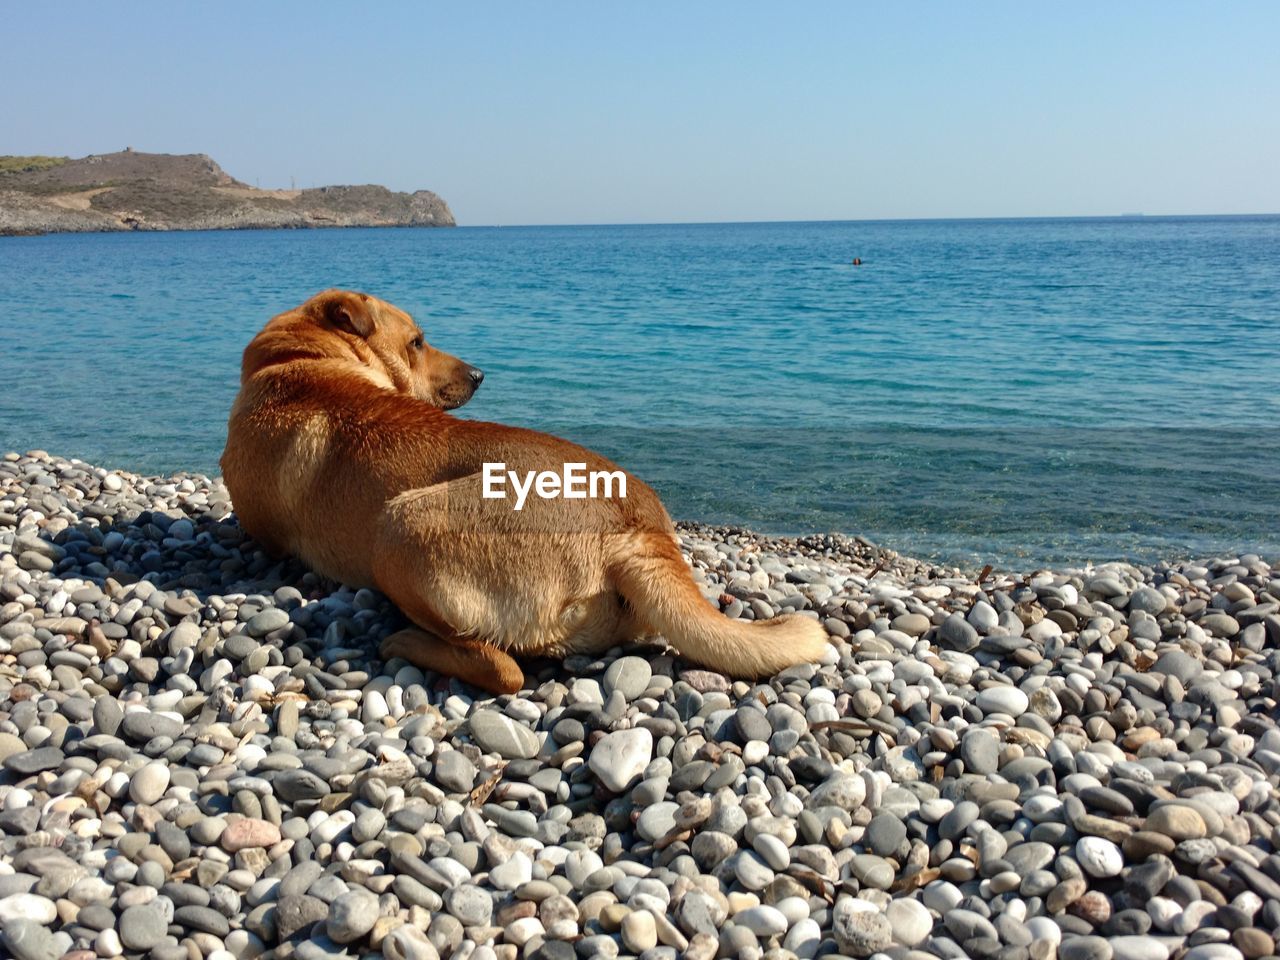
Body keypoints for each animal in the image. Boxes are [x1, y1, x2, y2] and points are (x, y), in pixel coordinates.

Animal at [222, 289, 829, 696]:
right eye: (417, 341)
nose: (480, 373)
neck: (302, 359)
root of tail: (635, 528)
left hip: (400, 527)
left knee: (502, 667)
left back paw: (405, 643)